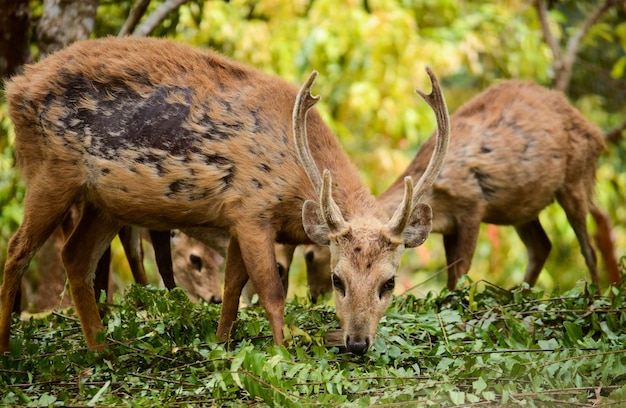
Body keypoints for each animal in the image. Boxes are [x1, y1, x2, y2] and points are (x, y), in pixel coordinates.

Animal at [0, 36, 448, 356]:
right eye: (338, 279)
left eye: (389, 282)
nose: (356, 343)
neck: (295, 173)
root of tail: (16, 87)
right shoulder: (252, 209)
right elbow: (270, 291)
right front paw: (282, 352)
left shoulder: (235, 218)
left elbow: (232, 287)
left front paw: (221, 343)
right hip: (52, 169)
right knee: (17, 249)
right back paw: (8, 349)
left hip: (104, 200)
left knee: (75, 257)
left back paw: (101, 349)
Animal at [302, 79, 604, 296]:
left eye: (310, 254)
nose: (314, 295)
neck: (438, 194)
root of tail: (598, 135)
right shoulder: (448, 225)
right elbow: (450, 274)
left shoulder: (473, 206)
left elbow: (461, 270)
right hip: (522, 207)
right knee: (542, 246)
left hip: (576, 180)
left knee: (589, 246)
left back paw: (597, 295)